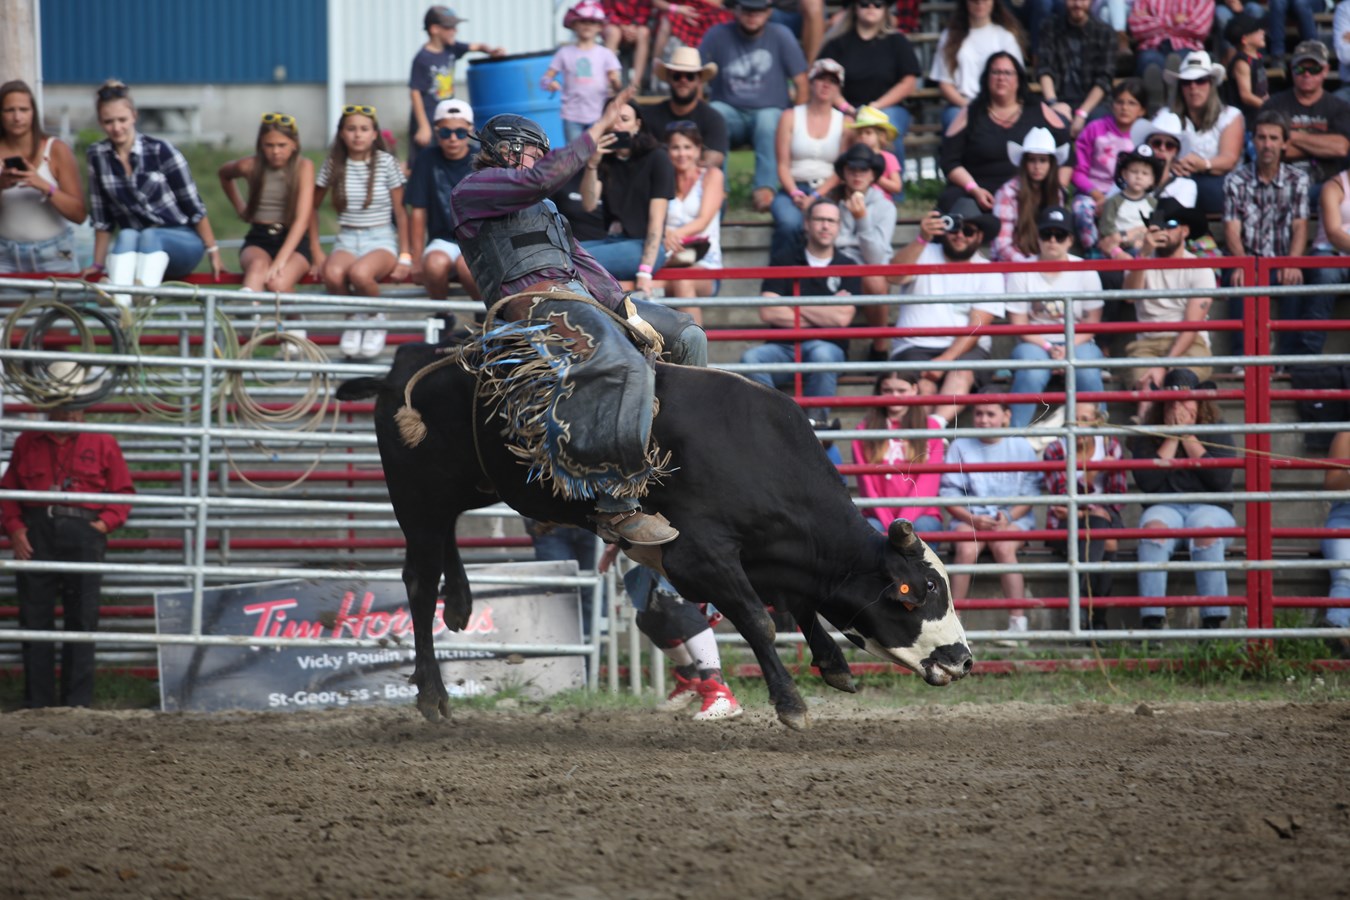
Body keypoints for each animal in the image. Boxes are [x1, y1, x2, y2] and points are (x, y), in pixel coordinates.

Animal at [337, 341, 972, 728]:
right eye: (916, 591)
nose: (963, 660)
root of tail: (403, 368)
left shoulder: (766, 554)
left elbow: (797, 602)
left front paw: (834, 665)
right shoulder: (699, 556)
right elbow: (760, 618)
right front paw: (792, 704)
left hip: (467, 487)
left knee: (444, 547)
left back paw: (464, 605)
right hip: (417, 495)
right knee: (418, 580)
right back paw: (433, 695)